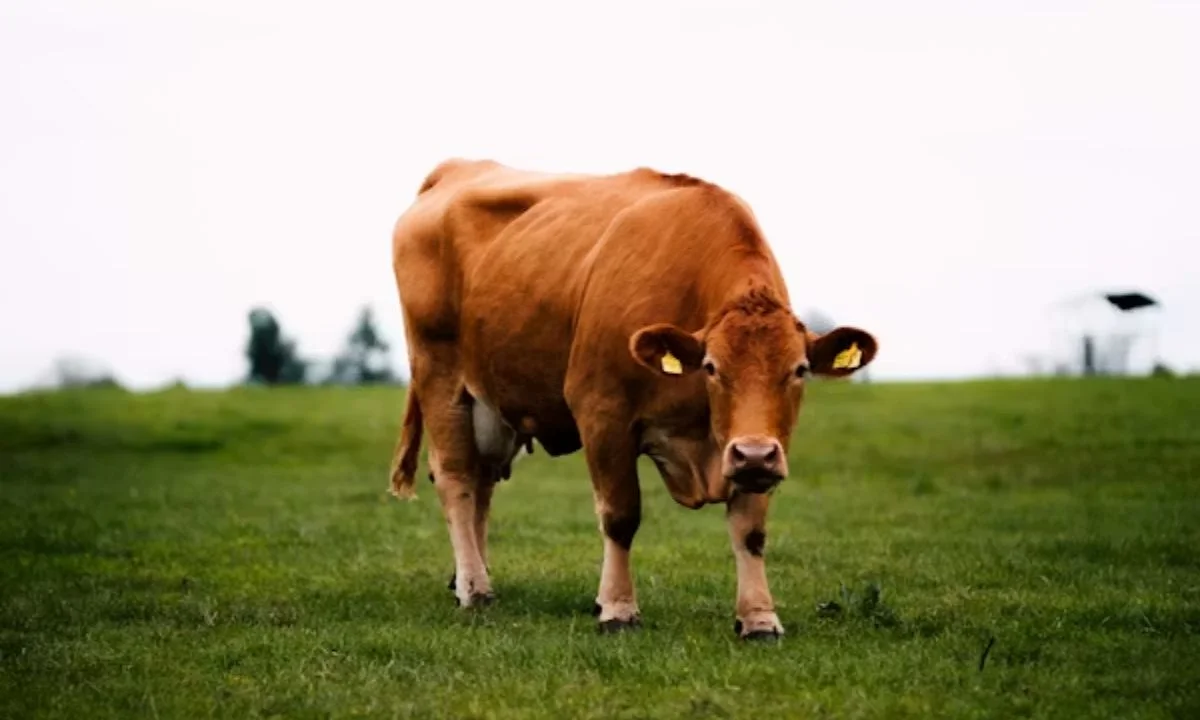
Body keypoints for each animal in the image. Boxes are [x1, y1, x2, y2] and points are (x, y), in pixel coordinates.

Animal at [387, 158, 877, 639]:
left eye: (798, 371)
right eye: (712, 367)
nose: (754, 454)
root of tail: (456, 169)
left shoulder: (763, 444)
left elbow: (750, 529)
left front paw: (759, 618)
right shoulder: (602, 412)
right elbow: (621, 516)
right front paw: (618, 609)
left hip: (491, 403)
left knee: (482, 482)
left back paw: (469, 578)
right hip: (440, 375)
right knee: (456, 478)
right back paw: (475, 589)